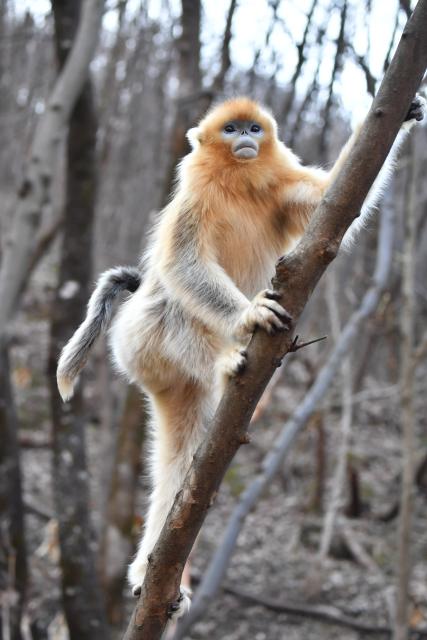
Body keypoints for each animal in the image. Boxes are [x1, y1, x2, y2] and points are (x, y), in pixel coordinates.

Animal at [57, 94, 425, 617]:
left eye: (253, 128)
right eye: (230, 129)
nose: (246, 139)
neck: (237, 181)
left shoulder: (284, 190)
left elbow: (334, 198)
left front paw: (404, 113)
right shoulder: (193, 200)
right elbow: (184, 263)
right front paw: (250, 314)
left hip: (167, 378)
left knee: (184, 469)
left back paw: (153, 573)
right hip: (139, 339)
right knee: (175, 301)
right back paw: (226, 364)